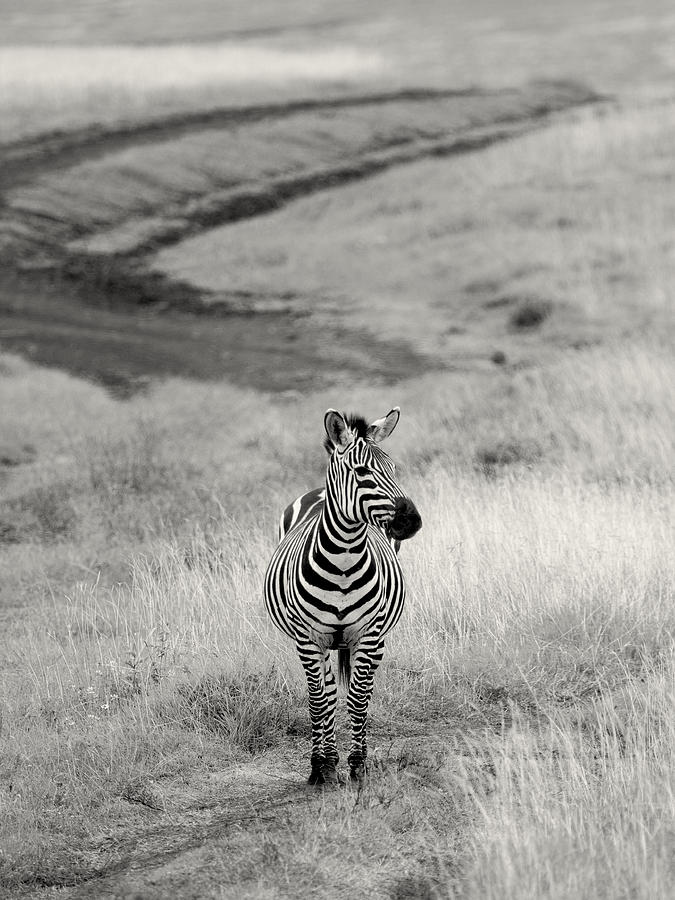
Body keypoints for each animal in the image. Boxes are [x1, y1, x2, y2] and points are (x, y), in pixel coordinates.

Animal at [266, 404, 420, 784]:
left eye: (394, 468)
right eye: (362, 471)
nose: (410, 521)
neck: (344, 562)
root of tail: (317, 491)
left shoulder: (368, 633)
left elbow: (358, 699)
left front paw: (358, 764)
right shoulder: (309, 638)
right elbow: (319, 701)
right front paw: (320, 767)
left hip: (372, 638)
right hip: (319, 643)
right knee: (325, 692)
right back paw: (325, 759)